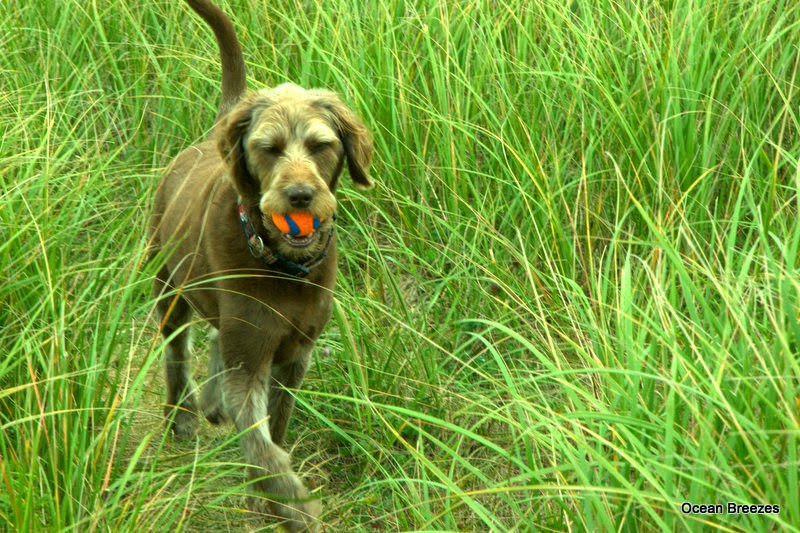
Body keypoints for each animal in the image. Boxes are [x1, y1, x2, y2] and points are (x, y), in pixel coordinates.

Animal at [149, 1, 373, 530]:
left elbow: (276, 426)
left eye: (321, 145)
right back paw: (183, 414)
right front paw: (293, 504)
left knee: (212, 339)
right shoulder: (248, 363)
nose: (300, 196)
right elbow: (262, 446)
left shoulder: (294, 355)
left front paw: (269, 499)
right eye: (267, 148)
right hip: (168, 287)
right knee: (177, 351)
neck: (281, 267)